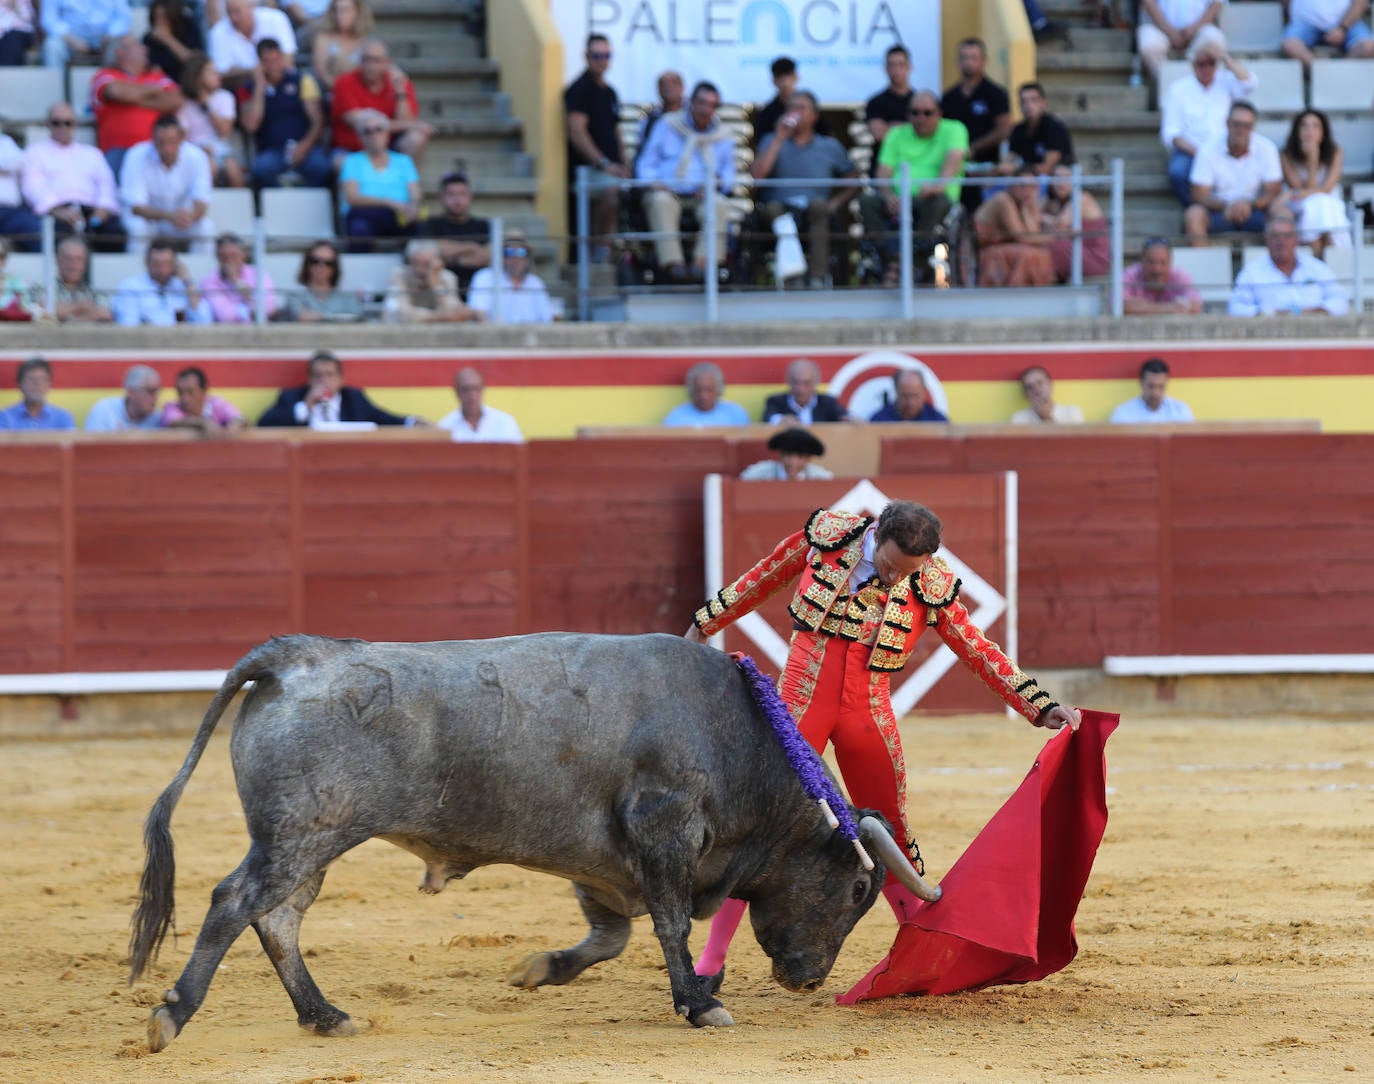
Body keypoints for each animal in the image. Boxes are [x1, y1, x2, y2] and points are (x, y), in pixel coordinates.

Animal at [129, 634, 928, 1049]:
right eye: (861, 887)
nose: (810, 980)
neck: (746, 742)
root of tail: (296, 658)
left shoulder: (602, 862)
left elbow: (610, 935)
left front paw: (541, 969)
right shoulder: (664, 833)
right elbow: (669, 924)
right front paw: (699, 1003)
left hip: (309, 843)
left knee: (279, 919)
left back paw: (324, 1016)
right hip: (306, 833)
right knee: (236, 902)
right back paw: (173, 1014)